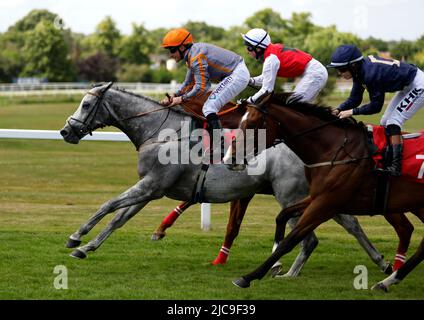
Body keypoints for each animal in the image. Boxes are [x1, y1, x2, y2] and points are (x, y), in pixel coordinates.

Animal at [232, 94, 424, 292]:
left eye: (252, 123)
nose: (231, 156)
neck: (333, 150)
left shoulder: (325, 204)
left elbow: (291, 239)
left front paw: (249, 276)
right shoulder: (317, 197)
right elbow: (282, 216)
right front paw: (275, 260)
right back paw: (387, 281)